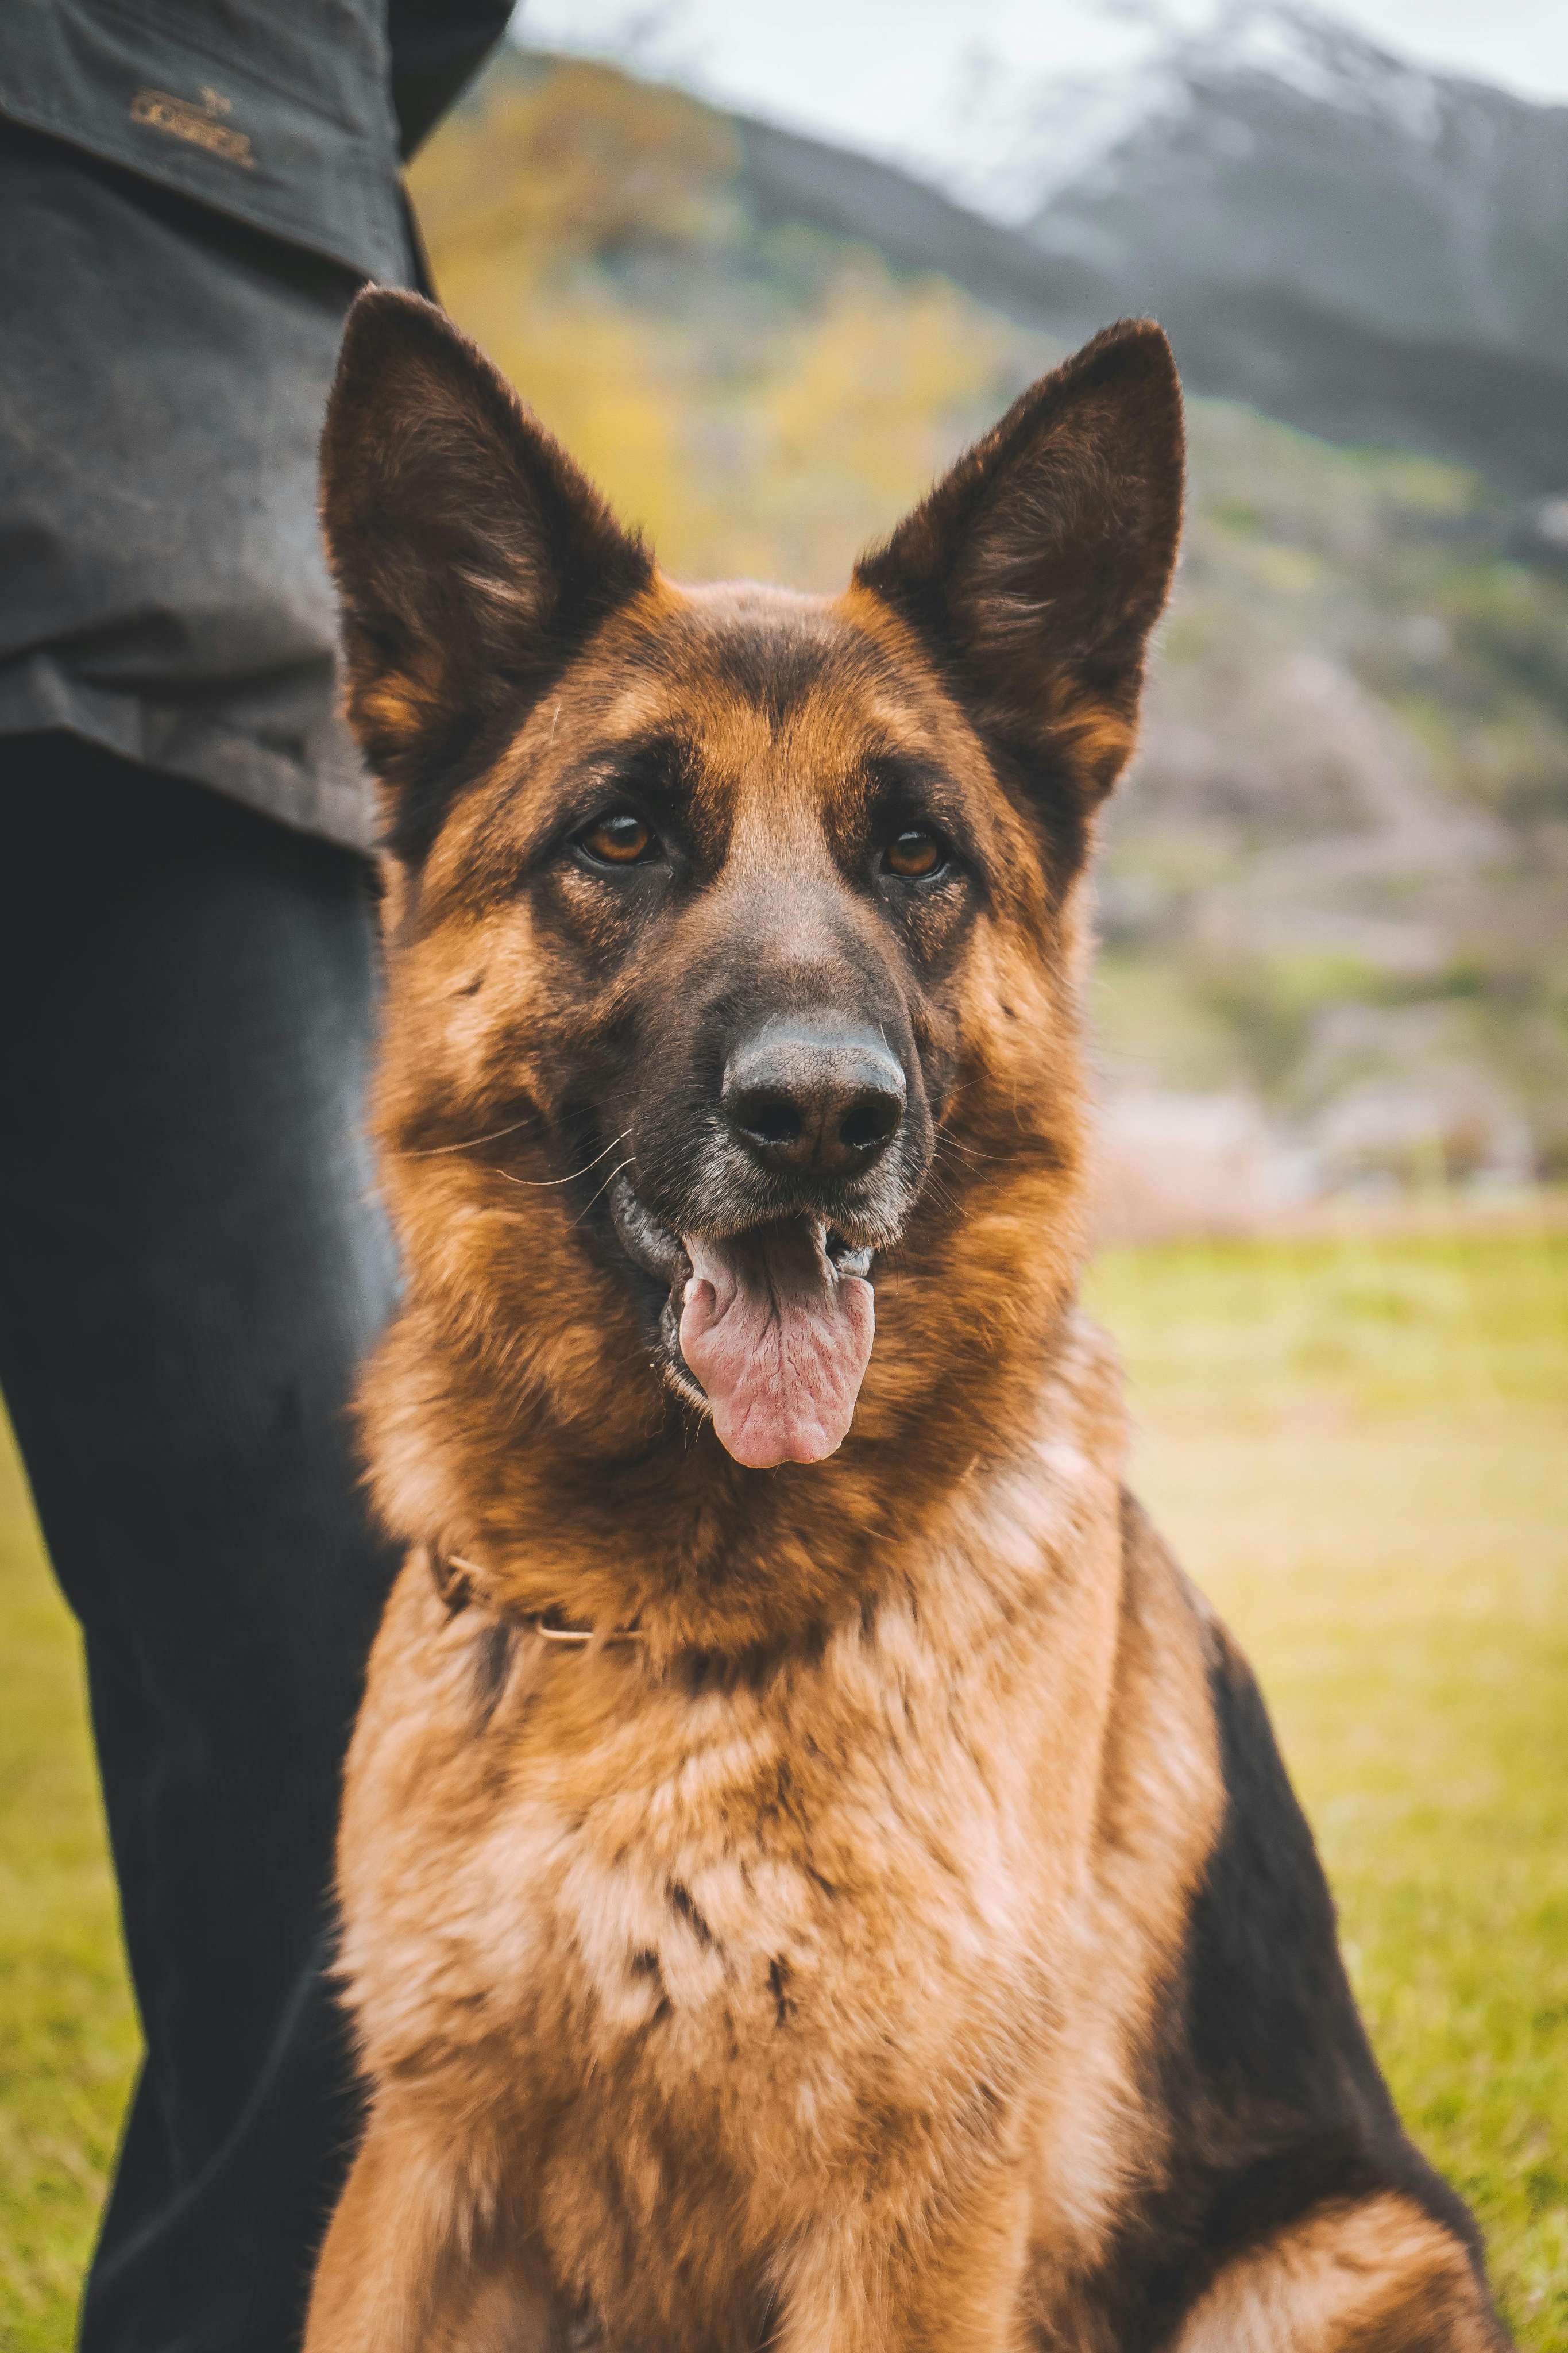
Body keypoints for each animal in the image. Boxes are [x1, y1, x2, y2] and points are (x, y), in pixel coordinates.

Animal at [303, 294, 1504, 2353]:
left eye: (919, 857)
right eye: (620, 837)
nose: (820, 1116)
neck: (671, 1641)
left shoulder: (908, 2230)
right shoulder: (424, 2183)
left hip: (1328, 2259)